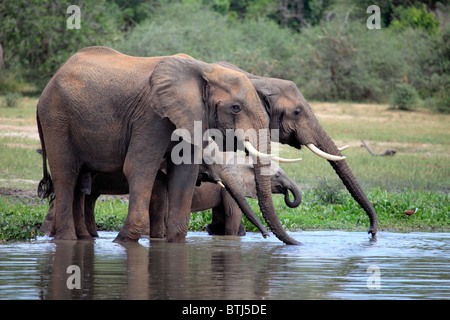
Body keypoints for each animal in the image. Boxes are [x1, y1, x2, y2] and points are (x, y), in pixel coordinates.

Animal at [37, 46, 298, 244]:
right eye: (235, 108)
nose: (267, 237)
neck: (204, 70)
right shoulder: (151, 116)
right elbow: (139, 168)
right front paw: (122, 242)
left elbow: (183, 175)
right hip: (57, 118)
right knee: (66, 175)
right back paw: (67, 241)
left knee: (80, 183)